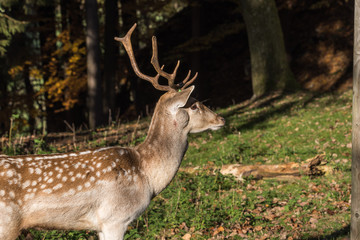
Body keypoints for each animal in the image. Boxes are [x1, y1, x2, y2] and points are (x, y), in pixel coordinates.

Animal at [0, 23, 225, 240]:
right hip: (7, 224)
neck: (147, 175)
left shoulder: (101, 226)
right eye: (194, 105)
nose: (221, 119)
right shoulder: (115, 218)